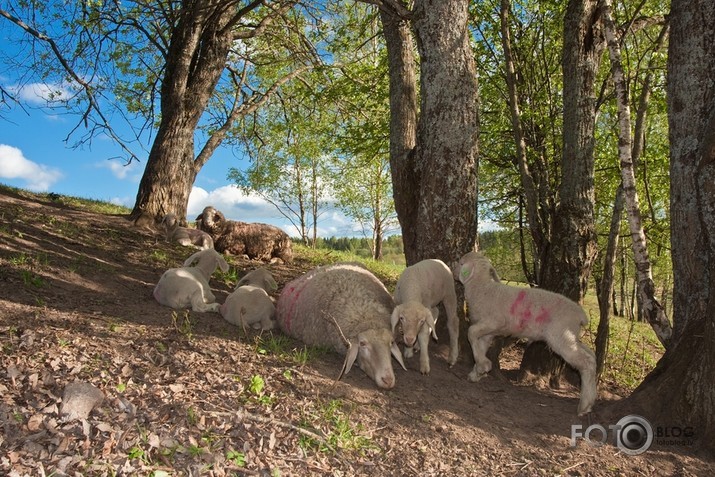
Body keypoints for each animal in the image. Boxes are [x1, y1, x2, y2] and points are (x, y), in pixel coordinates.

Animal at [458, 251, 600, 414]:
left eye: (460, 262)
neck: (482, 288)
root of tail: (580, 315)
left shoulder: (495, 321)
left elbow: (470, 332)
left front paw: (483, 366)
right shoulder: (489, 331)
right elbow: (479, 345)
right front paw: (477, 372)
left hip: (561, 335)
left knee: (586, 361)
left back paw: (584, 406)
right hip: (571, 335)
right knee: (591, 355)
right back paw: (590, 399)